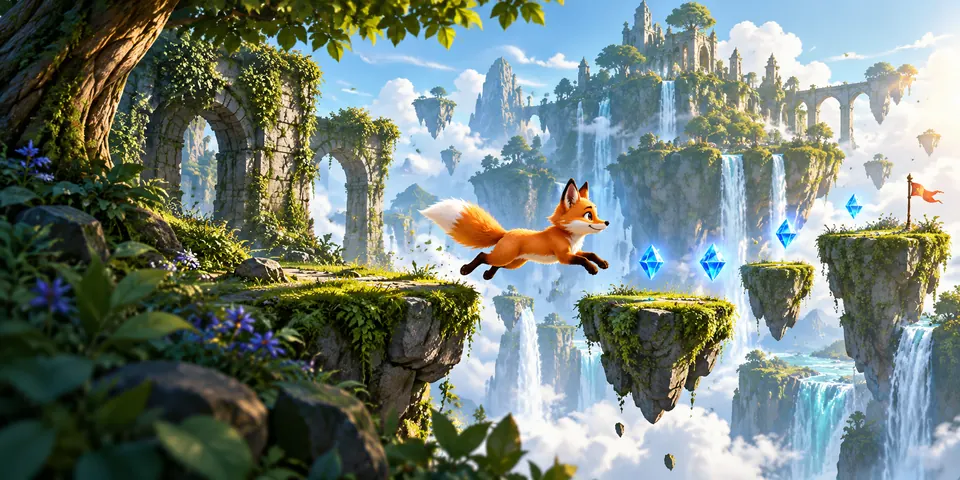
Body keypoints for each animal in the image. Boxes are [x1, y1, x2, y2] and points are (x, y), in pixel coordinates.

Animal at [419, 178, 610, 280]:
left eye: (597, 213)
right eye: (588, 215)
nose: (607, 222)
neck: (569, 235)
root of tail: (506, 233)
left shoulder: (575, 251)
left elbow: (590, 254)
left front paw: (602, 263)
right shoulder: (564, 257)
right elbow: (583, 260)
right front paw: (593, 269)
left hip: (513, 263)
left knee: (494, 264)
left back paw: (488, 275)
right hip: (505, 257)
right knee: (483, 255)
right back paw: (466, 269)